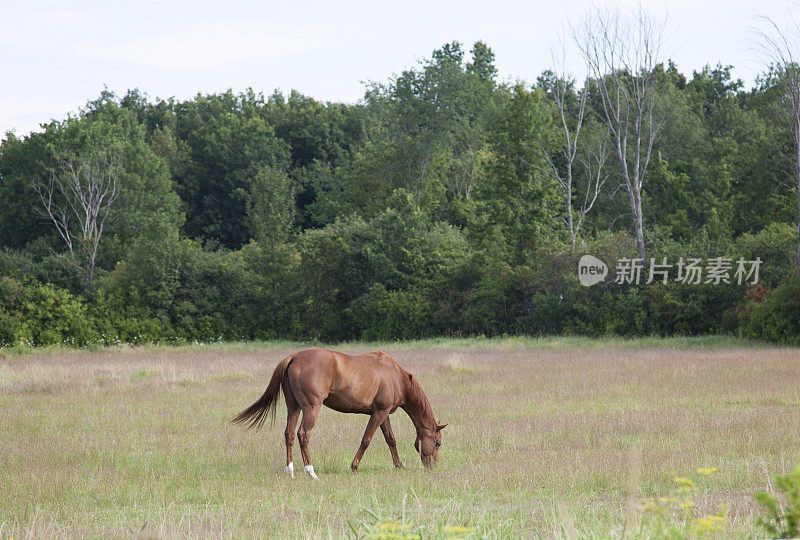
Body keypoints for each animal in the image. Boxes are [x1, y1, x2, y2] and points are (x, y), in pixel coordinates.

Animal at [231, 348, 446, 478]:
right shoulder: (379, 413)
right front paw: (354, 467)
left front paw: (399, 466)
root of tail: (293, 357)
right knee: (303, 434)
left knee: (289, 434)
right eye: (437, 443)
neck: (396, 376)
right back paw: (311, 471)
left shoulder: (382, 413)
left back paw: (290, 470)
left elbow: (390, 439)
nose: (433, 467)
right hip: (311, 408)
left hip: (294, 407)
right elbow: (366, 440)